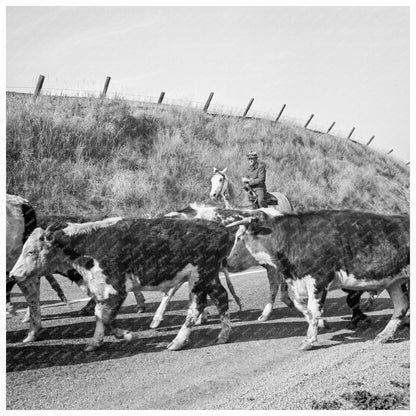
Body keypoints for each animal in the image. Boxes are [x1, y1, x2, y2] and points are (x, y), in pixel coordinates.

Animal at [9, 218, 232, 352]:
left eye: (31, 251)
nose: (13, 274)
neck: (88, 243)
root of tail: (219, 228)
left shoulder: (115, 289)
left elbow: (105, 315)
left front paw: (126, 334)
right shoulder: (102, 291)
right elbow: (99, 314)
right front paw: (95, 342)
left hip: (199, 278)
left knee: (196, 307)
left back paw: (177, 341)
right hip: (210, 278)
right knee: (221, 298)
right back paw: (223, 335)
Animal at [226, 210, 408, 350]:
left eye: (239, 238)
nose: (226, 262)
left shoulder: (318, 279)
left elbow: (313, 309)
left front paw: (309, 340)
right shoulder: (300, 281)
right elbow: (301, 305)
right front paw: (321, 323)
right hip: (396, 282)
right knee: (401, 306)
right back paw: (385, 334)